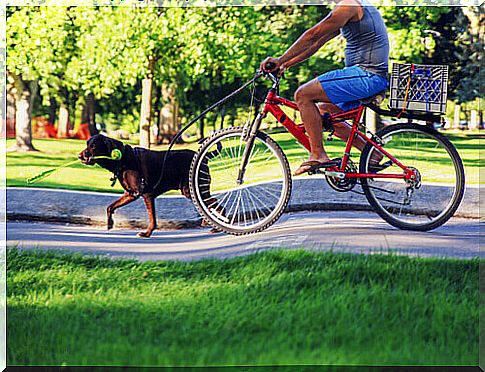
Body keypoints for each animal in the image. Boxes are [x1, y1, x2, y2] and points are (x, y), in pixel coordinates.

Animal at [78, 135, 218, 237]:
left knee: (213, 203)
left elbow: (152, 219)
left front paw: (147, 233)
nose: (79, 156)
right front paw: (109, 224)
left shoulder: (147, 195)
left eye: (94, 146)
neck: (123, 159)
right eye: (87, 144)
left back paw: (215, 227)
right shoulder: (131, 194)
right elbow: (110, 207)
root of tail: (205, 157)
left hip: (191, 189)